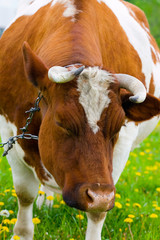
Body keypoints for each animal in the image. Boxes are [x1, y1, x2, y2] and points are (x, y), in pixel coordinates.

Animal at [0, 0, 160, 240]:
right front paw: (22, 234)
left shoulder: (121, 148)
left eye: (117, 127)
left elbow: (98, 211)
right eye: (62, 122)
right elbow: (24, 193)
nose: (99, 195)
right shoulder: (10, 132)